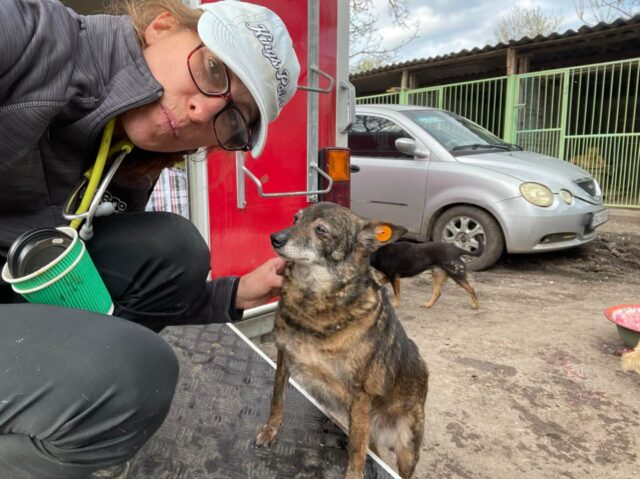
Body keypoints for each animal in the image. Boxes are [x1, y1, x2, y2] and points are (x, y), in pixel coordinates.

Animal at [256, 203, 430, 479]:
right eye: (296, 219)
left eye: (321, 230)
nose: (275, 238)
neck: (313, 304)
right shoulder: (283, 357)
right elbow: (277, 400)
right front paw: (270, 431)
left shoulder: (359, 396)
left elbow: (356, 450)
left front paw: (353, 474)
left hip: (406, 448)